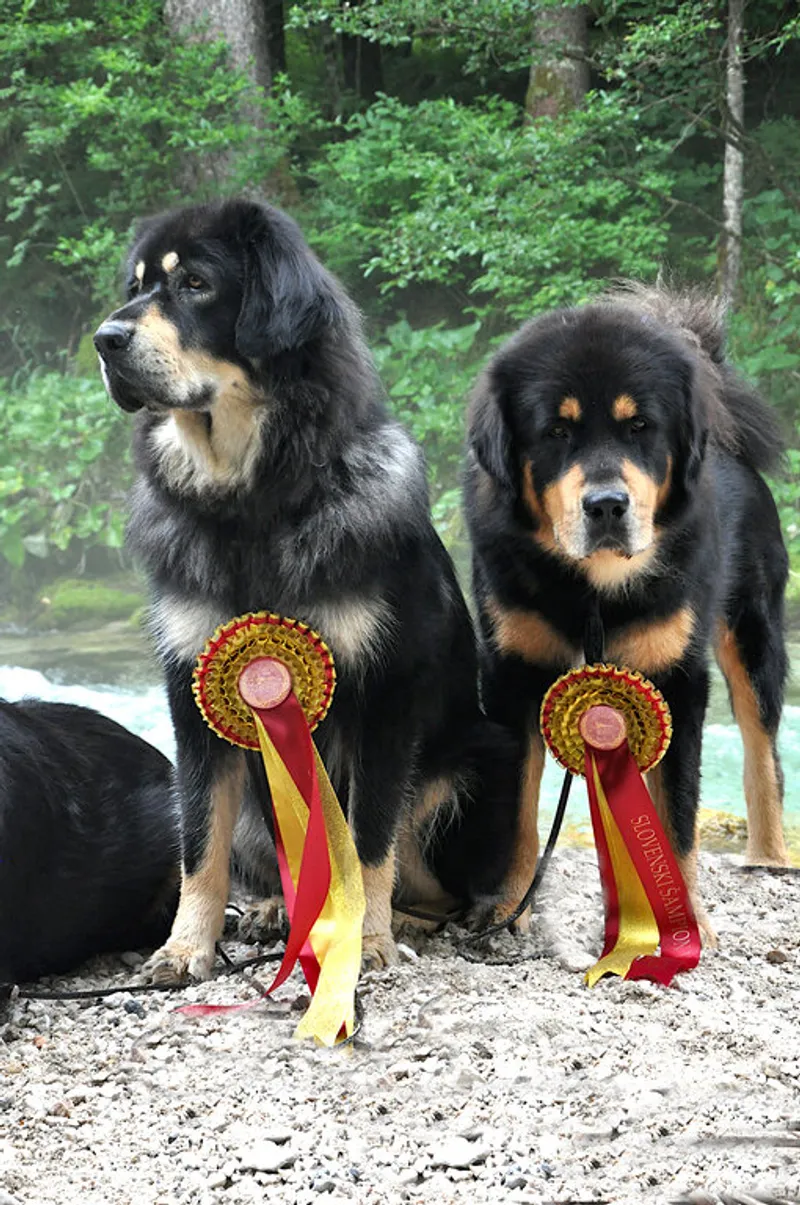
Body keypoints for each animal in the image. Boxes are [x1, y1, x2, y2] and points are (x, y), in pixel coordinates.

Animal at [94, 197, 520, 982]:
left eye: (196, 284)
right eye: (137, 285)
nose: (105, 340)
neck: (252, 502)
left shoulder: (384, 696)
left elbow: (371, 838)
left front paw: (368, 938)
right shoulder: (192, 695)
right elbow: (199, 843)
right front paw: (186, 946)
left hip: (479, 763)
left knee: (437, 885)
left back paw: (407, 920)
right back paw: (274, 910)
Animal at [464, 284, 791, 941]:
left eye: (640, 426)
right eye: (556, 431)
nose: (607, 504)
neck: (593, 591)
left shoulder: (676, 680)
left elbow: (676, 813)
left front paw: (681, 921)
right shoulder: (512, 674)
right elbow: (518, 811)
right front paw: (509, 907)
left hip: (752, 637)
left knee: (762, 752)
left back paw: (768, 858)